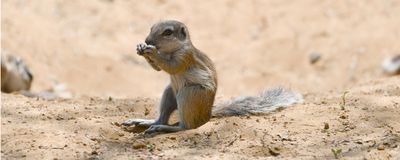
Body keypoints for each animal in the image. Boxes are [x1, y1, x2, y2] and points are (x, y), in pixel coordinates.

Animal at [122, 20, 304, 134]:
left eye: (167, 32)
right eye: (151, 28)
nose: (147, 40)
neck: (170, 50)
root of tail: (208, 114)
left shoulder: (185, 57)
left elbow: (171, 67)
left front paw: (152, 52)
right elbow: (158, 69)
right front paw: (141, 48)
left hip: (188, 94)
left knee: (187, 127)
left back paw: (164, 129)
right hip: (169, 93)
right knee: (162, 118)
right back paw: (144, 122)